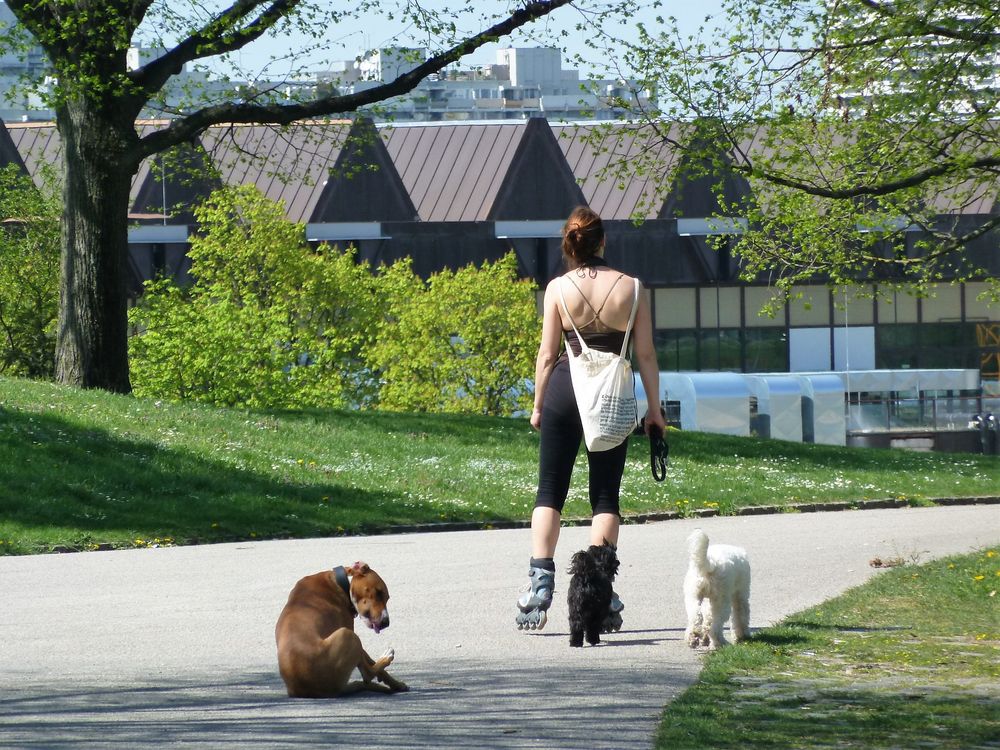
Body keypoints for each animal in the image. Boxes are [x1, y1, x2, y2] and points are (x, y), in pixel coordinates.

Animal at [272, 564, 408, 700]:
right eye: (379, 592)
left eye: (387, 597)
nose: (386, 622)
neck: (342, 583)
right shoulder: (350, 631)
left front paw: (396, 684)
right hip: (348, 635)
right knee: (368, 674)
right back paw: (385, 658)